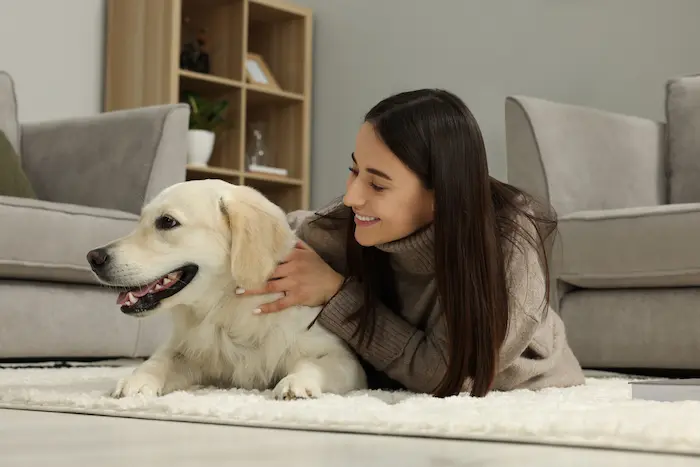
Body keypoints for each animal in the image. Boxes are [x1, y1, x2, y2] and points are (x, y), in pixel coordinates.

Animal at [89, 179, 366, 398]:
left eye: (167, 221)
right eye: (141, 220)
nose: (94, 257)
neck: (228, 308)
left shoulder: (344, 359)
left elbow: (313, 364)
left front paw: (295, 383)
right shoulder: (186, 349)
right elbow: (158, 360)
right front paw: (136, 380)